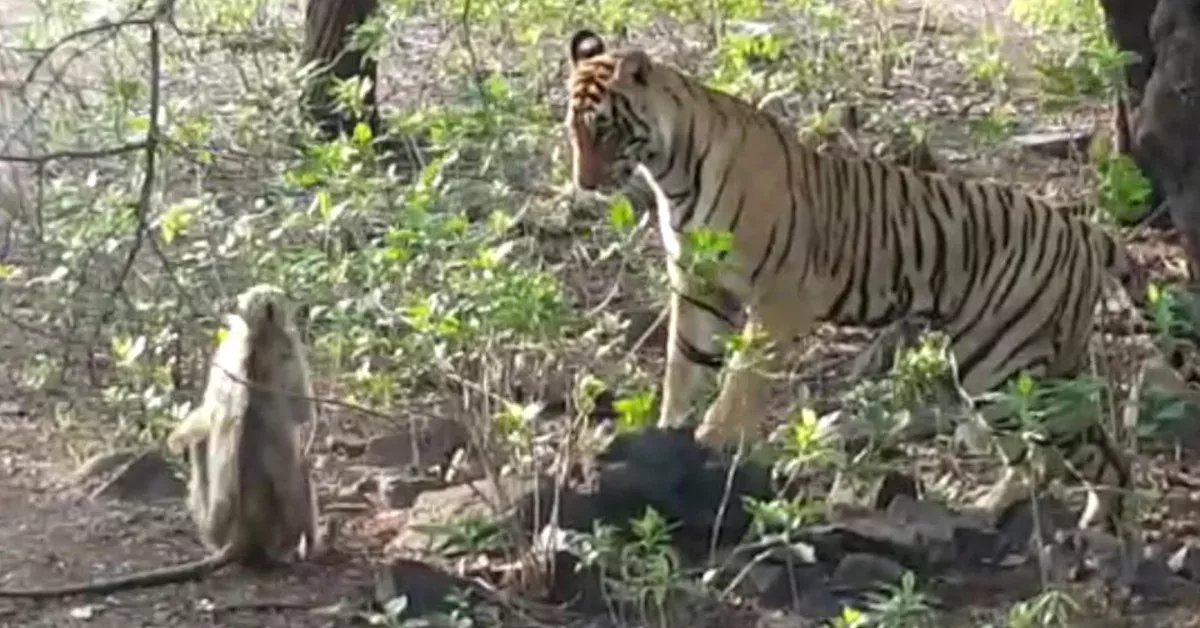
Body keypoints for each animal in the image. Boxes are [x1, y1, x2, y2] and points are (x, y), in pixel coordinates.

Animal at [0, 284, 321, 598]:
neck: (257, 339)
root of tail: (241, 537)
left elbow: (206, 416)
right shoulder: (287, 346)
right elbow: (302, 415)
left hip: (211, 525)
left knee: (200, 443)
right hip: (272, 532)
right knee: (300, 466)